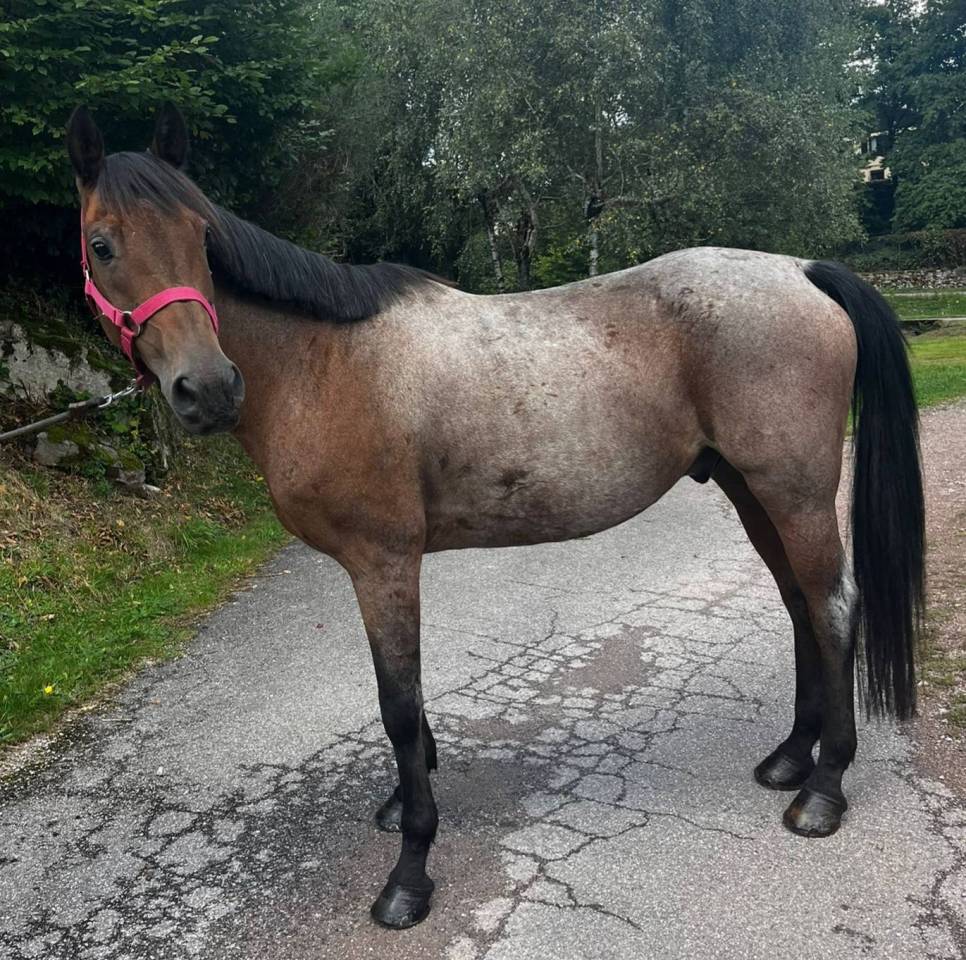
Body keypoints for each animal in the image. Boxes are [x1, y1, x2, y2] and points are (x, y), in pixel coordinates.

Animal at [65, 103, 924, 930]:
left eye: (201, 239)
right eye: (102, 245)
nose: (207, 389)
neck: (325, 363)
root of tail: (802, 271)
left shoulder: (383, 562)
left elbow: (398, 705)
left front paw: (409, 874)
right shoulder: (384, 568)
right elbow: (406, 703)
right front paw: (403, 803)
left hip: (793, 492)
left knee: (833, 606)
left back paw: (823, 790)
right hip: (753, 491)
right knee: (801, 605)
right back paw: (790, 758)